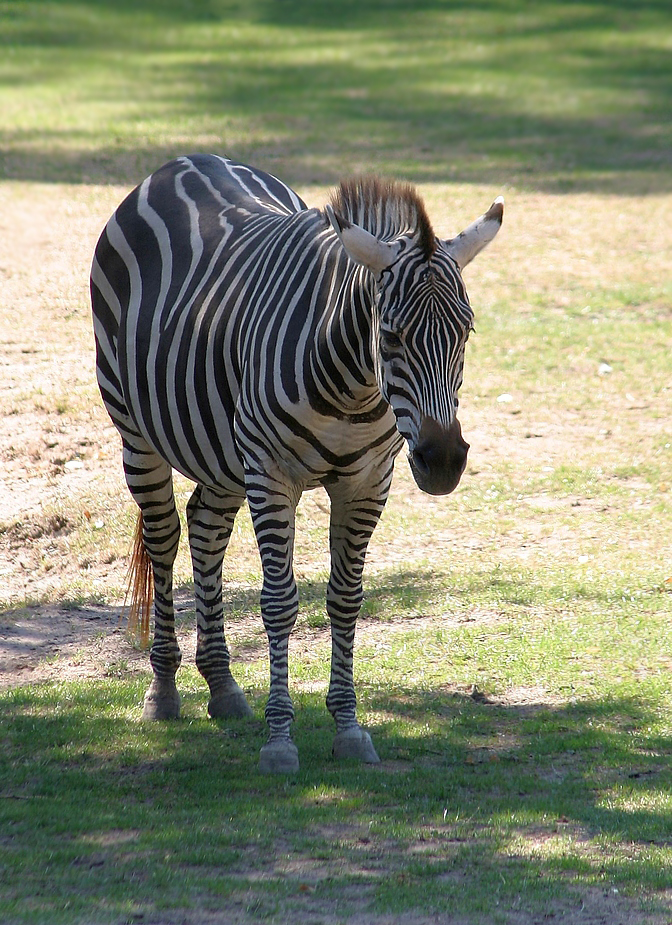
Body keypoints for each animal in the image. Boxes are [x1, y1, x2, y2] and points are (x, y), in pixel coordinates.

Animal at [89, 153, 502, 772]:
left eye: (466, 332)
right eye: (390, 335)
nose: (444, 461)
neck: (355, 391)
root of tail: (185, 162)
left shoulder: (368, 480)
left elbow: (346, 599)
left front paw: (349, 728)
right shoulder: (271, 473)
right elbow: (280, 603)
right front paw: (280, 740)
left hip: (223, 450)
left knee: (206, 529)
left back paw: (223, 686)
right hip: (138, 432)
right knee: (163, 539)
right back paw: (163, 691)